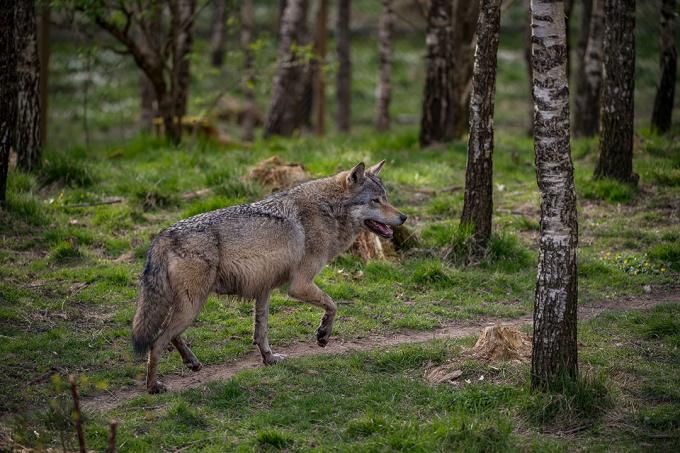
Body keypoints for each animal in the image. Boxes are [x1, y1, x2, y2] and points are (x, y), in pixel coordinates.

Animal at [134, 160, 410, 392]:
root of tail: (162, 236)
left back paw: (191, 363)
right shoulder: (299, 285)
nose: (404, 217)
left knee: (170, 336)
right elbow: (333, 305)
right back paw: (153, 387)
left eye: (385, 198)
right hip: (193, 307)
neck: (328, 210)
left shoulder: (264, 289)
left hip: (188, 307)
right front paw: (323, 335)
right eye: (375, 200)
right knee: (156, 343)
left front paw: (269, 358)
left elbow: (261, 332)